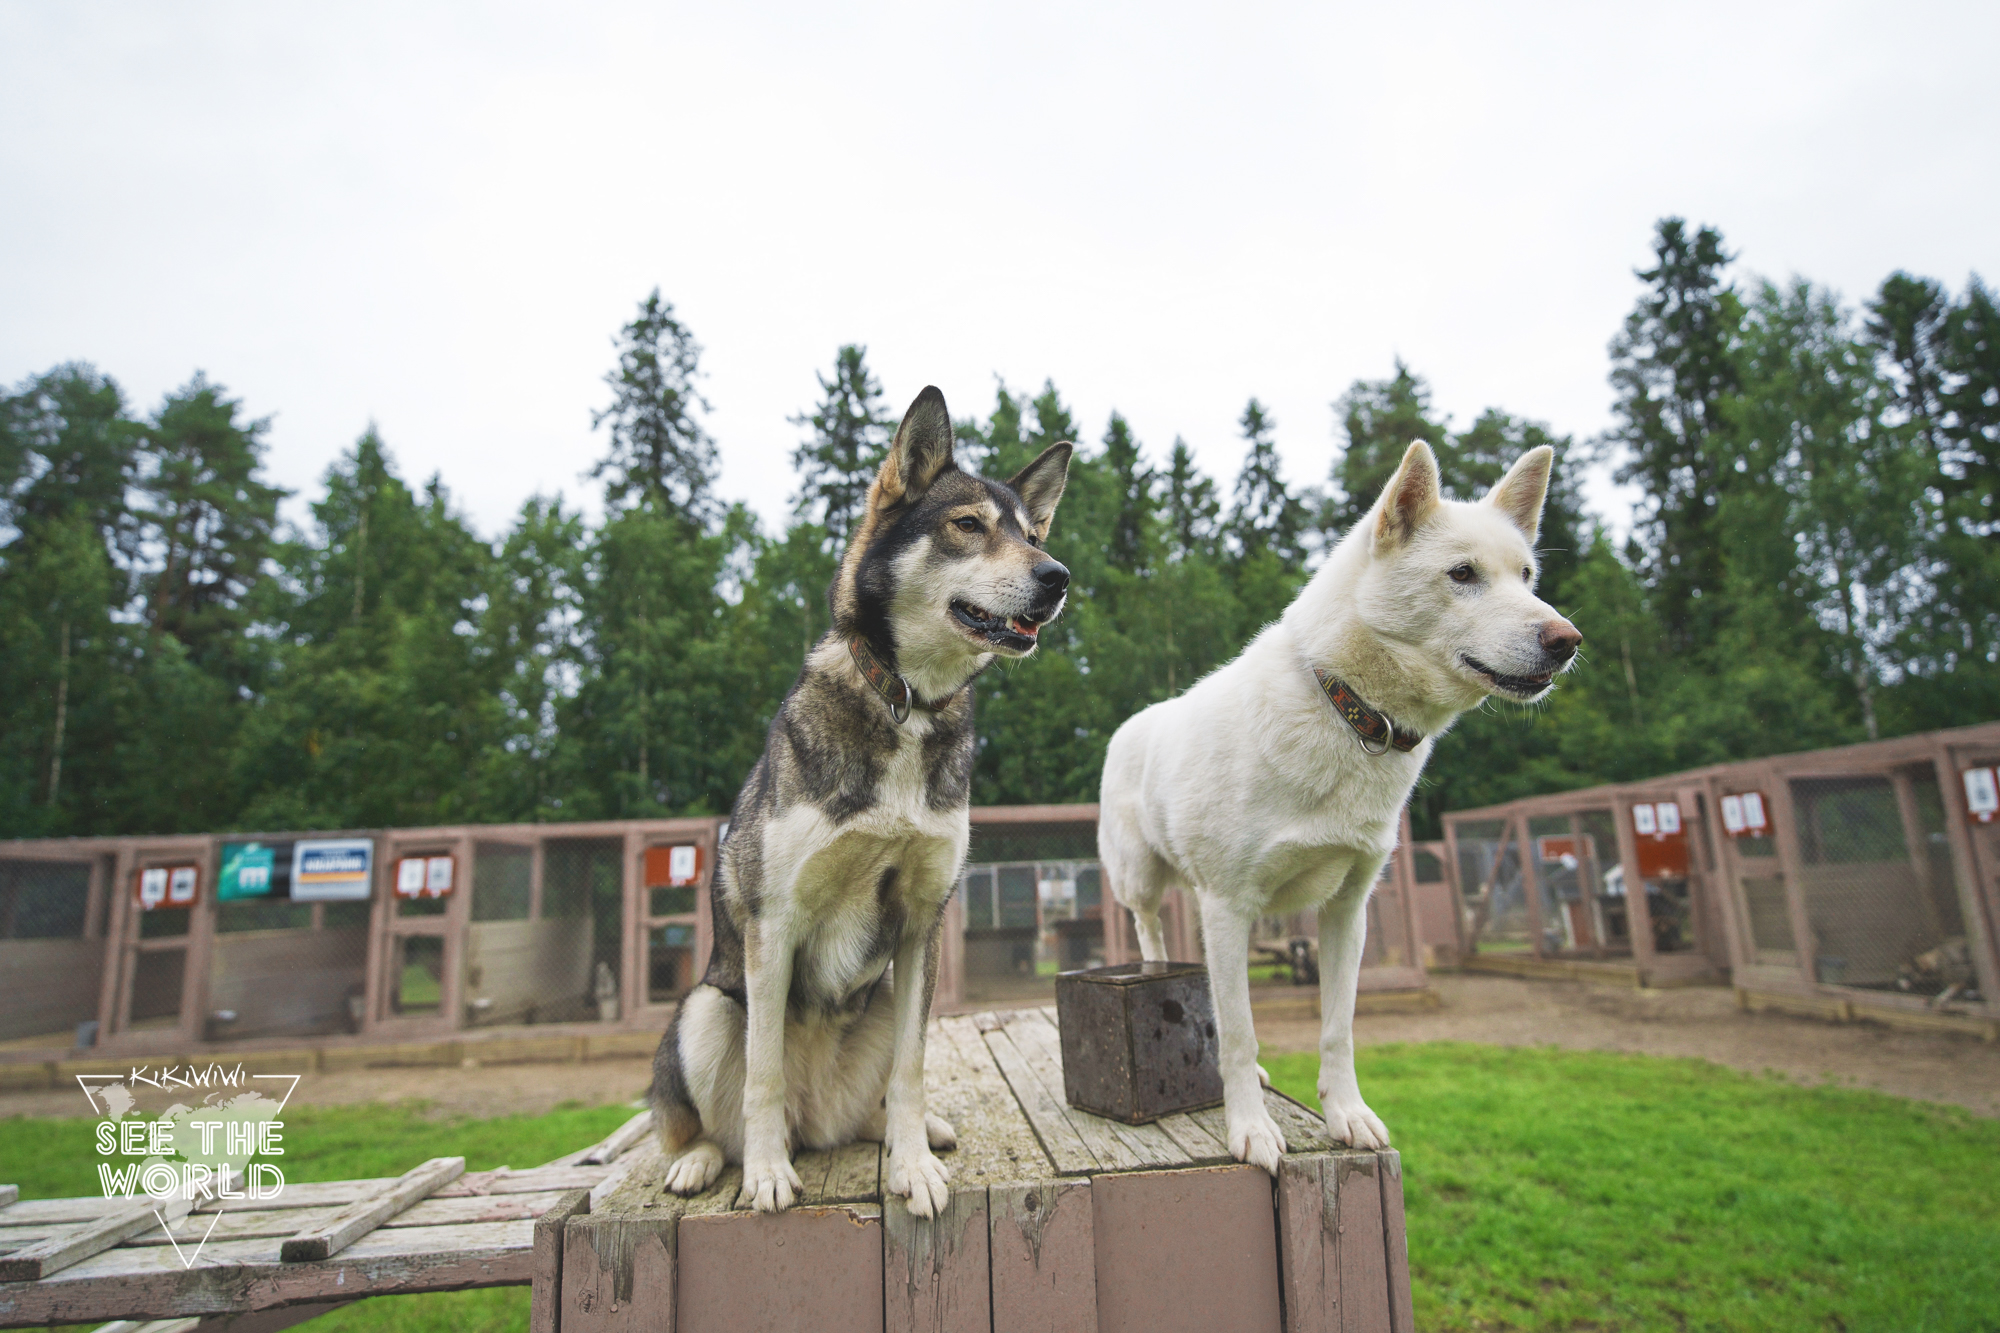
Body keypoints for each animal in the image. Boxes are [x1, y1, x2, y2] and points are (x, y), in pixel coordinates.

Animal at [1096, 436, 1576, 1160]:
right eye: (1462, 573)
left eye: (1527, 577)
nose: (1567, 640)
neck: (1350, 711)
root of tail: (1132, 723)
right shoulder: (1228, 905)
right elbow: (1239, 1032)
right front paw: (1250, 1128)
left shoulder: (1349, 909)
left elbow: (1337, 1026)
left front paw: (1347, 1115)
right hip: (1144, 884)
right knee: (1154, 940)